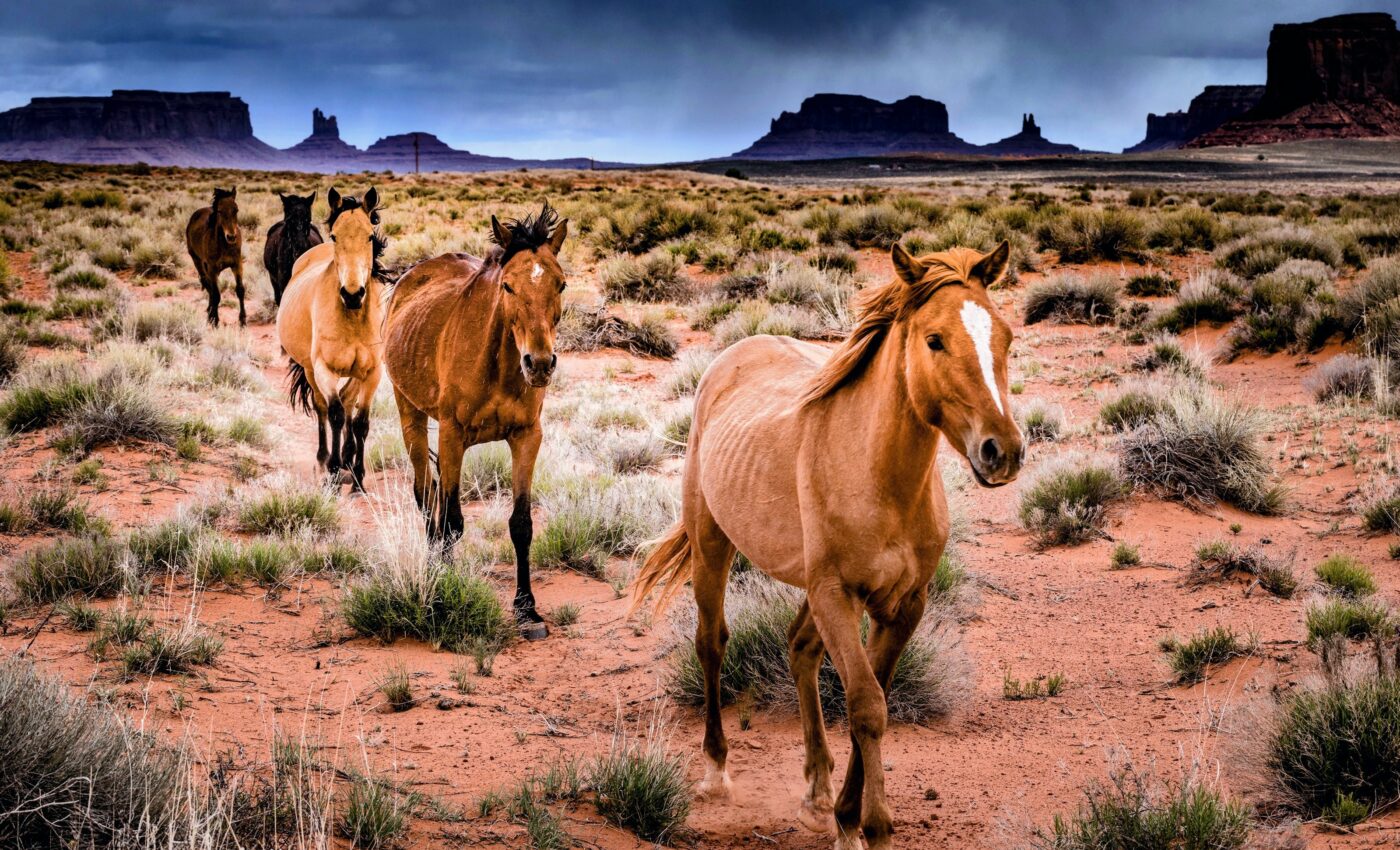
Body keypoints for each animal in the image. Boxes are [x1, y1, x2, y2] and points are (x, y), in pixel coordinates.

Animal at [185, 187, 246, 327]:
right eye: (219, 211)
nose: (231, 237)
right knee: (207, 285)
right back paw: (210, 312)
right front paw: (215, 320)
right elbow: (216, 294)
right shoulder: (212, 268)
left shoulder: (237, 264)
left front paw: (242, 320)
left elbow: (240, 290)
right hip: (198, 262)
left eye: (236, 210)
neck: (224, 245)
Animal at [276, 187, 385, 492]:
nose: (352, 294)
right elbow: (334, 414)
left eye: (369, 236)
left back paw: (347, 458)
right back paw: (325, 459)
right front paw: (334, 472)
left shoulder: (372, 372)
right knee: (323, 407)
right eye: (335, 235)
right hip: (310, 371)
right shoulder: (324, 369)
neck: (353, 317)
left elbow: (360, 422)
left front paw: (358, 477)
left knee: (348, 402)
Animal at [383, 202, 568, 641]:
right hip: (410, 413)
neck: (497, 366)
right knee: (425, 493)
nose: (539, 364)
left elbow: (521, 524)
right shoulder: (452, 436)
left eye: (562, 285)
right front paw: (443, 594)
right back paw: (432, 563)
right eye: (508, 286)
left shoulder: (526, 437)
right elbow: (451, 519)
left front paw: (526, 609)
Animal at [631, 242, 1025, 850]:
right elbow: (866, 707)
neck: (879, 477)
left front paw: (845, 814)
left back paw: (816, 792)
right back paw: (716, 770)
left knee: (799, 649)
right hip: (712, 543)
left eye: (1004, 337)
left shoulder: (903, 605)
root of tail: (734, 353)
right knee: (712, 643)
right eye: (934, 340)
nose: (1001, 451)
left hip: (811, 589)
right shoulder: (837, 594)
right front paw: (871, 827)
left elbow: (878, 695)